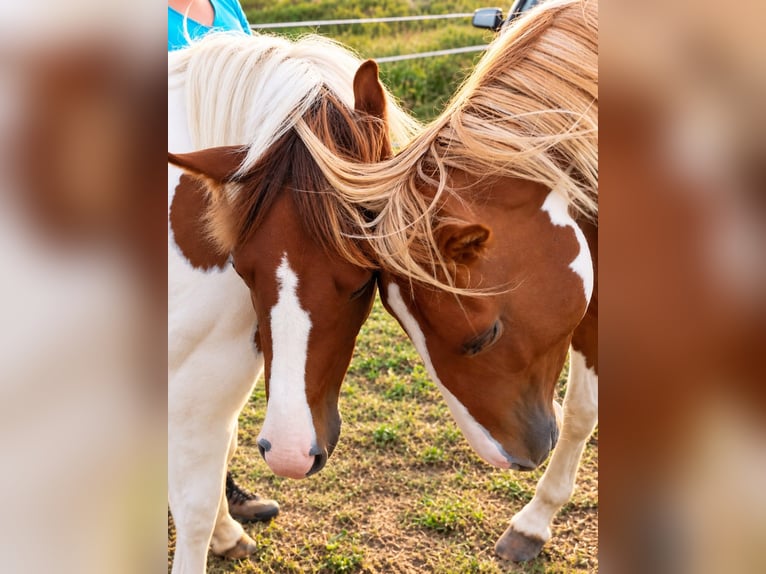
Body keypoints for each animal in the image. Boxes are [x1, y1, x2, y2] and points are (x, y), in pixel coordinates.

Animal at [167, 32, 417, 572]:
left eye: (364, 279)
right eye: (243, 270)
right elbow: (194, 506)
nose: (289, 453)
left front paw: (228, 531)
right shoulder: (200, 377)